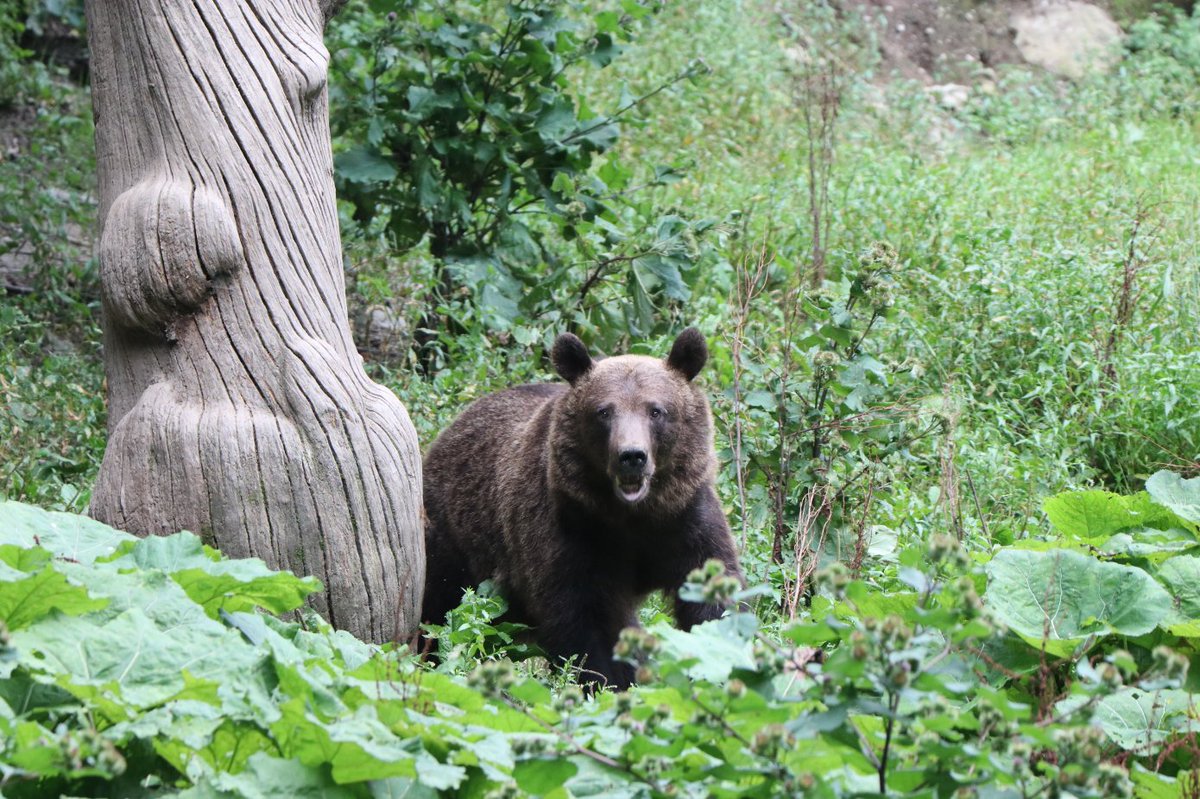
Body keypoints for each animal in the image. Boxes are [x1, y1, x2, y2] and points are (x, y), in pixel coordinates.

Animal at [420, 326, 739, 686]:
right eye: (604, 411)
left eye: (656, 410)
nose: (631, 456)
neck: (633, 516)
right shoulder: (573, 531)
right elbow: (588, 620)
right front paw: (609, 680)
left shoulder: (684, 518)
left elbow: (713, 597)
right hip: (455, 541)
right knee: (438, 608)